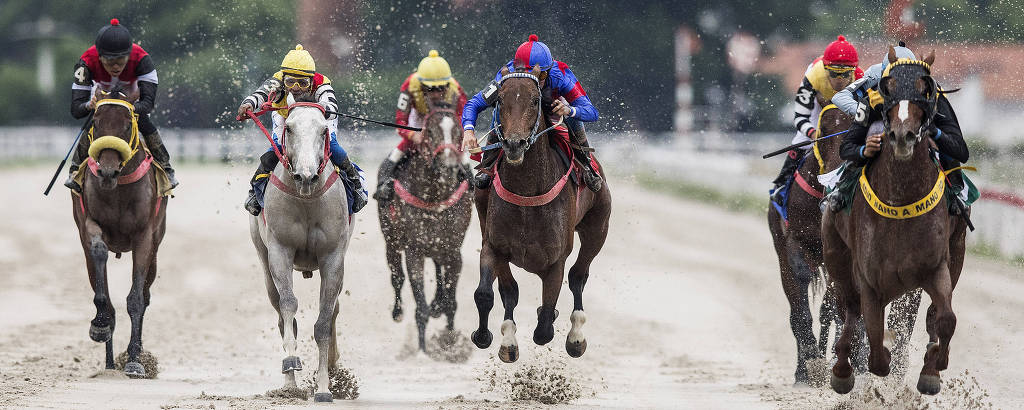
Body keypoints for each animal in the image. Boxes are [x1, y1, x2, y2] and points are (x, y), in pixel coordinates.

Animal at [72, 86, 168, 377]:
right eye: (96, 122)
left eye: (127, 125)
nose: (107, 172)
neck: (118, 191)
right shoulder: (88, 222)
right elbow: (98, 250)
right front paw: (100, 323)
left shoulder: (145, 237)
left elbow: (136, 299)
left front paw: (135, 361)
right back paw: (109, 361)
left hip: (156, 249)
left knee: (145, 295)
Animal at [376, 102, 471, 352]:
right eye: (429, 132)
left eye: (459, 131)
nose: (448, 166)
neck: (435, 194)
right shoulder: (414, 251)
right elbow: (421, 307)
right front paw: (422, 351)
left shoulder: (453, 251)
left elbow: (451, 302)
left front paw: (450, 341)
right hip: (391, 240)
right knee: (397, 276)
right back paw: (398, 311)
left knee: (438, 273)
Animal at [468, 65, 610, 362]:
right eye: (499, 100)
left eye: (535, 100)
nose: (514, 144)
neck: (527, 193)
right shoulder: (494, 245)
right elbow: (490, 293)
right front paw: (489, 337)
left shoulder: (556, 259)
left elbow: (544, 324)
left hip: (597, 228)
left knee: (578, 275)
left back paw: (576, 336)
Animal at [770, 99, 847, 385]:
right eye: (823, 128)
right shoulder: (795, 240)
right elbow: (800, 300)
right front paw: (810, 358)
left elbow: (830, 308)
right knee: (795, 308)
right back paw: (803, 369)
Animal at [815, 49, 966, 395]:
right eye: (889, 87)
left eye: (925, 88)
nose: (902, 136)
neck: (901, 200)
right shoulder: (870, 279)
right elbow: (874, 344)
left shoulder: (936, 267)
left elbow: (945, 318)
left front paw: (934, 366)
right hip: (836, 256)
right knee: (848, 307)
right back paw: (841, 370)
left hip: (957, 252)